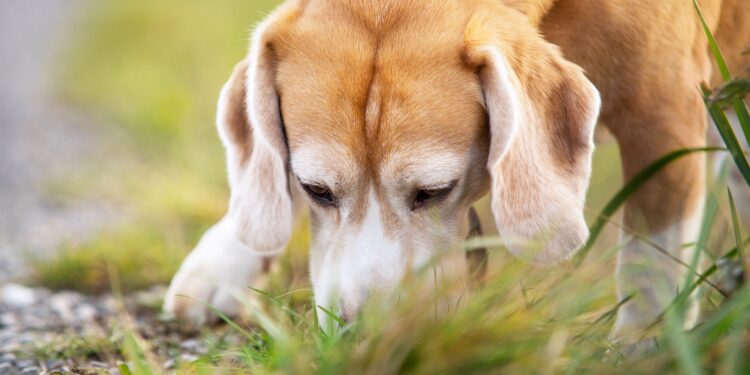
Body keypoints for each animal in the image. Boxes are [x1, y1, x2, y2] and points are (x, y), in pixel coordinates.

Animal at [166, 0, 750, 346]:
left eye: (433, 191)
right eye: (316, 190)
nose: (366, 334)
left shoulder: (666, 114)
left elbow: (650, 264)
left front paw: (642, 347)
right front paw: (227, 257)